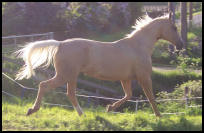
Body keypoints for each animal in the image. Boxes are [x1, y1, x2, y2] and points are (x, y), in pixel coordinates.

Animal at [14, 12, 183, 116]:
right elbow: (151, 97)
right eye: (174, 27)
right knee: (46, 86)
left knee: (69, 93)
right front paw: (159, 116)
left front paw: (109, 108)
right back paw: (33, 110)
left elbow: (128, 95)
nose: (181, 45)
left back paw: (81, 114)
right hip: (65, 75)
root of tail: (60, 44)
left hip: (70, 76)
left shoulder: (126, 79)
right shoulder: (144, 77)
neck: (138, 46)